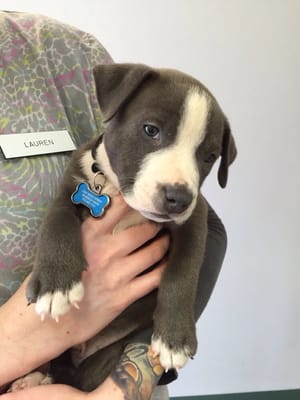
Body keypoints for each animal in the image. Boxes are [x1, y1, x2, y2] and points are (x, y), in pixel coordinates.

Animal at [26, 64, 237, 392]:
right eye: (151, 130)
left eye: (209, 157)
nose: (178, 198)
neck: (119, 193)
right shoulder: (71, 189)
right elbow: (57, 223)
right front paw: (56, 285)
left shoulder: (195, 219)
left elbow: (183, 273)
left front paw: (175, 338)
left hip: (110, 352)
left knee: (79, 380)